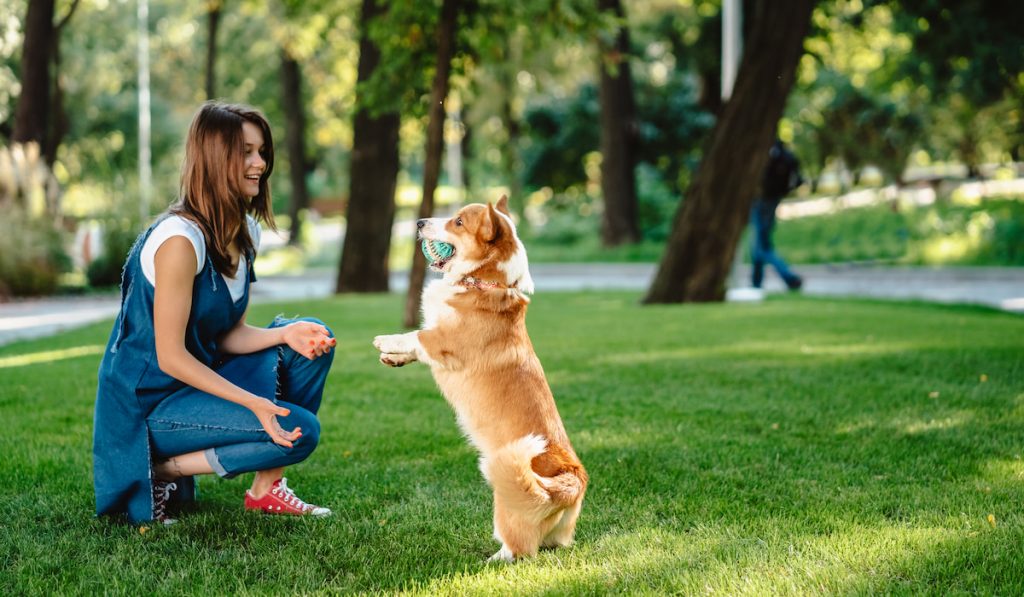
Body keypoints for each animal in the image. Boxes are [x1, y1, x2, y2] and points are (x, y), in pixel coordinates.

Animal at [374, 194, 585, 561]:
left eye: (458, 222)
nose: (418, 223)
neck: (485, 280)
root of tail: (572, 482)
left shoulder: (443, 341)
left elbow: (415, 336)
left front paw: (386, 342)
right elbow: (413, 347)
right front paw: (393, 358)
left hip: (508, 498)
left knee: (519, 549)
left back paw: (491, 560)